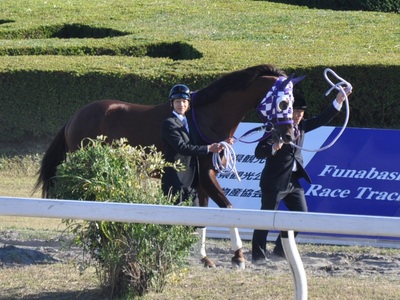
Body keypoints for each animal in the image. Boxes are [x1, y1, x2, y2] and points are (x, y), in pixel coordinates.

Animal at [36, 63, 302, 270]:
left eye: (292, 102)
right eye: (282, 103)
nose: (289, 134)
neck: (206, 118)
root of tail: (75, 117)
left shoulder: (202, 180)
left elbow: (203, 216)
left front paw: (205, 259)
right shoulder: (207, 175)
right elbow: (228, 208)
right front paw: (238, 257)